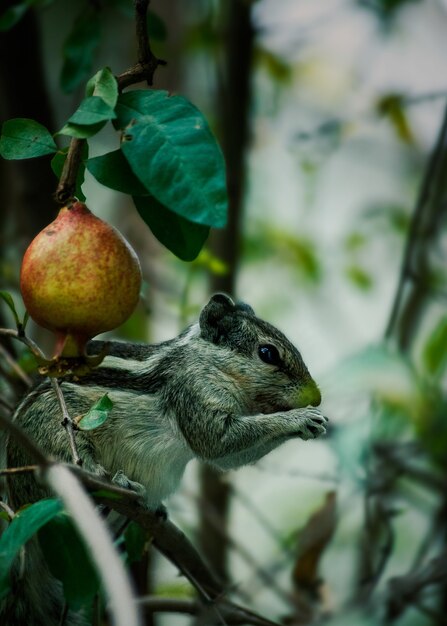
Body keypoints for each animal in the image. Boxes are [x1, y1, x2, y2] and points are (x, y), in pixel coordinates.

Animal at [1, 294, 328, 624]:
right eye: (267, 353)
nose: (316, 397)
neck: (207, 363)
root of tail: (15, 501)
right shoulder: (194, 393)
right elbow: (216, 442)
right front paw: (298, 418)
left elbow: (228, 458)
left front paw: (309, 423)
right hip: (60, 437)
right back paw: (118, 482)